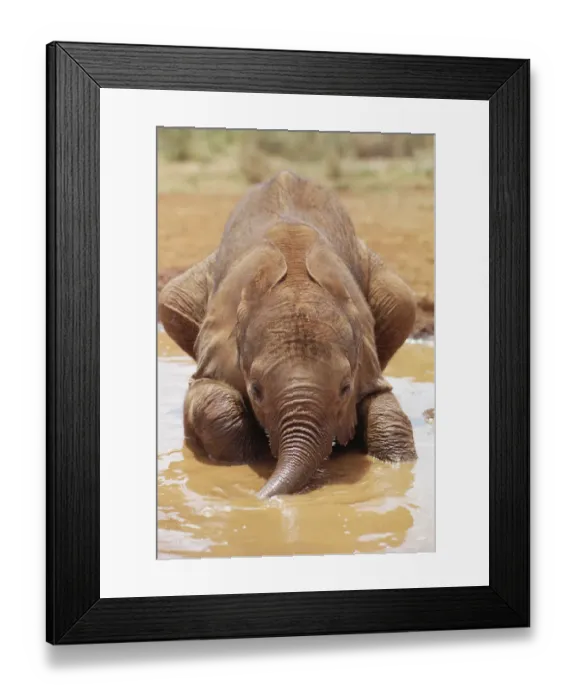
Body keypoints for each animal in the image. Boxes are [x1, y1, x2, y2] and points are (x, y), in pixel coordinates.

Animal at [159, 170, 418, 499]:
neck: (295, 275)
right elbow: (211, 399)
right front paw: (252, 456)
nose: (259, 498)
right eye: (256, 390)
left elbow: (387, 412)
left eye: (345, 388)